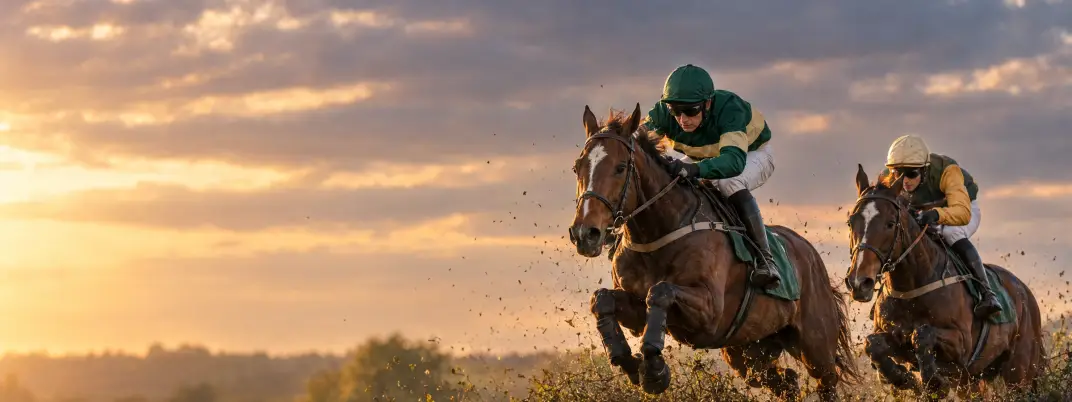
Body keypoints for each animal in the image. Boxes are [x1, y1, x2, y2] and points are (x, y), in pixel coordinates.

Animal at [566, 103, 861, 401]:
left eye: (620, 167)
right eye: (577, 167)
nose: (585, 233)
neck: (658, 233)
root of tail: (811, 255)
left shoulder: (709, 312)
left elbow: (660, 291)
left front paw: (654, 370)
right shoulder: (638, 309)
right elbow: (601, 299)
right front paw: (627, 361)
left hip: (816, 347)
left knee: (825, 383)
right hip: (748, 351)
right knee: (786, 381)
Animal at [844, 164, 1045, 399]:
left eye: (890, 223)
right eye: (850, 222)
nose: (859, 282)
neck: (911, 289)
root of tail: (1026, 294)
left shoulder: (962, 345)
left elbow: (923, 335)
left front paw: (934, 381)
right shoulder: (892, 338)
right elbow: (872, 344)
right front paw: (900, 378)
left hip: (1019, 373)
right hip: (973, 382)